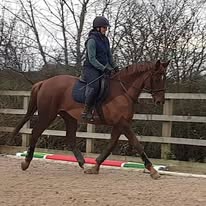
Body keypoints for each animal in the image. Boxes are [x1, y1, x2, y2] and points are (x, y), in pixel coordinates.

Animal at [11, 59, 169, 179]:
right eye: (156, 78)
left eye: (164, 78)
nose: (160, 101)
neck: (123, 91)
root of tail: (43, 82)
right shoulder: (123, 124)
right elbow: (136, 143)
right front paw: (153, 171)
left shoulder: (119, 124)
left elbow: (111, 145)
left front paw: (94, 167)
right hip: (47, 115)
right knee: (35, 133)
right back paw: (26, 163)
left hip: (69, 117)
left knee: (70, 139)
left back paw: (83, 164)